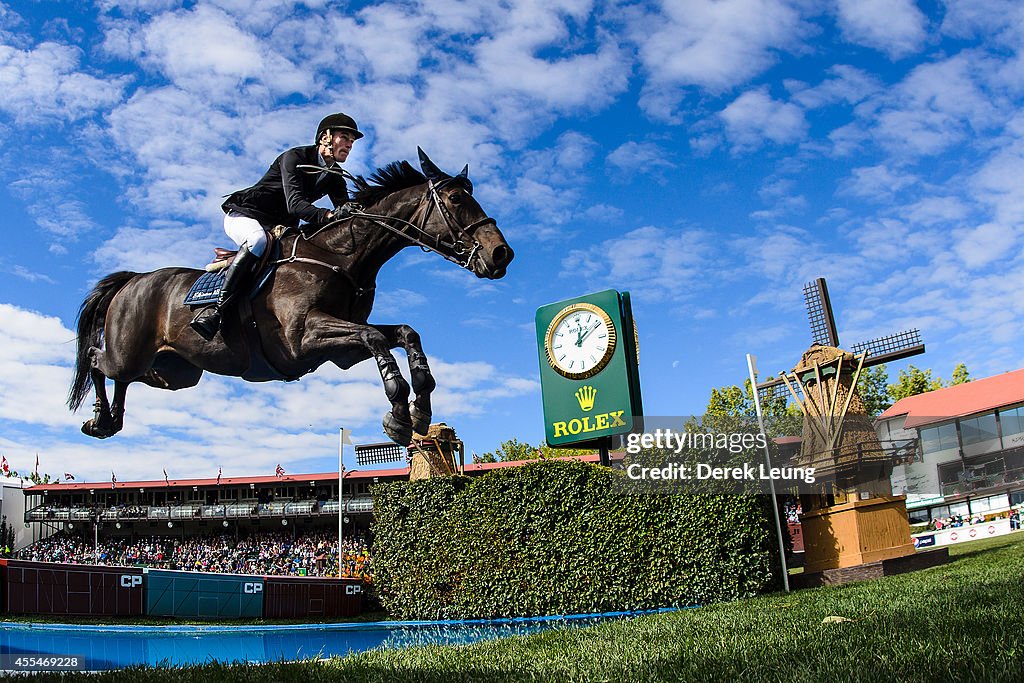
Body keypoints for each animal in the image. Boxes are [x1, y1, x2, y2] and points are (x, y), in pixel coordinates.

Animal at [66, 149, 512, 446]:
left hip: (175, 373)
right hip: (131, 351)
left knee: (124, 377)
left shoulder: (342, 350)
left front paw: (419, 406)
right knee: (97, 360)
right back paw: (99, 419)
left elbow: (404, 333)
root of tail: (134, 280)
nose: (501, 254)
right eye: (456, 199)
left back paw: (110, 421)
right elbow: (378, 339)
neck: (340, 255)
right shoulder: (303, 338)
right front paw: (399, 415)